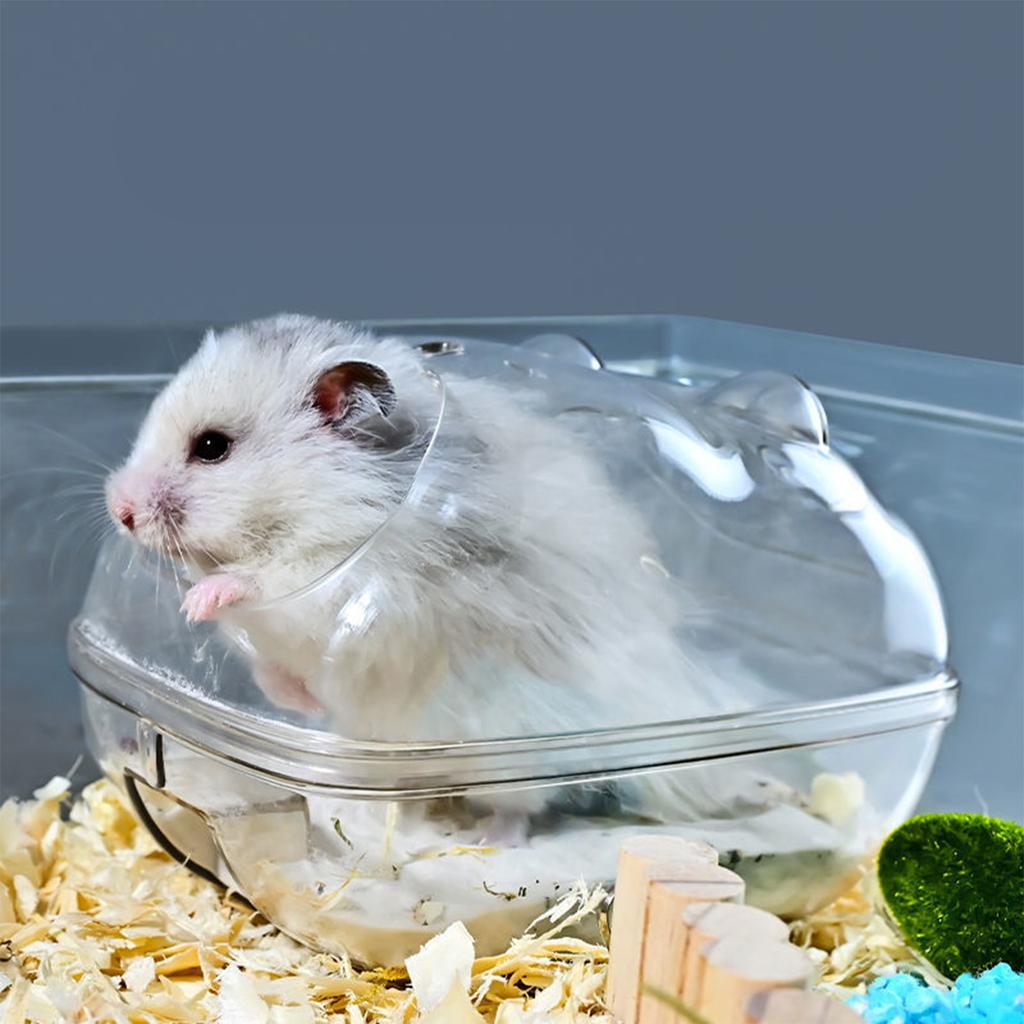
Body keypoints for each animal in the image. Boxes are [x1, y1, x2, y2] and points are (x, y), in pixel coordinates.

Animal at [106, 316, 724, 779]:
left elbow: (267, 580)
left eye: (212, 447)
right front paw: (303, 703)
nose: (120, 511)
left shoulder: (347, 580)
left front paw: (198, 601)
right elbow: (269, 668)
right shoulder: (269, 642)